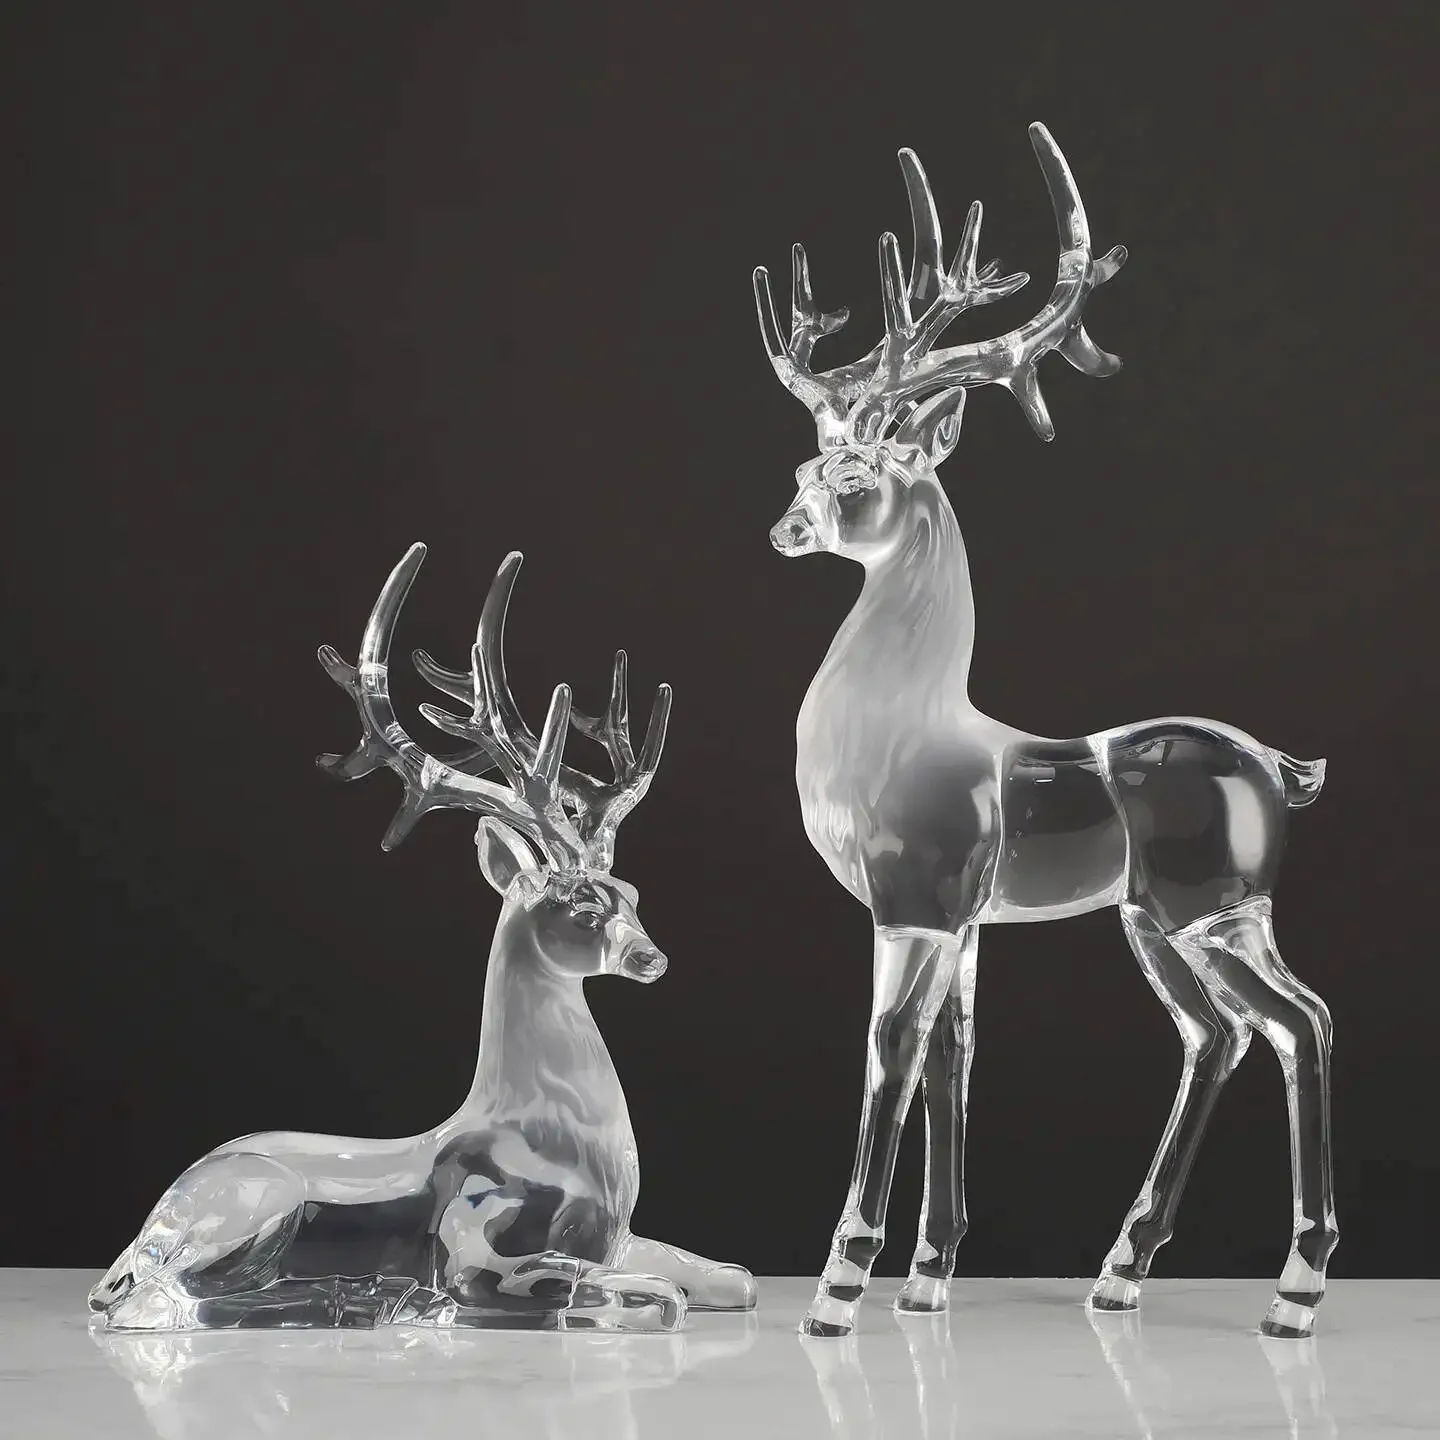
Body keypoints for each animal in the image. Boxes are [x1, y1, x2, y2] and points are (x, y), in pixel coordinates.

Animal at [89, 543, 755, 1333]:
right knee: (172, 1299)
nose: (652, 957)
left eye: (631, 892)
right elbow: (625, 1292)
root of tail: (152, 1221)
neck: (559, 1146)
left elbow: (732, 1276)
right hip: (251, 1204)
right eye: (578, 903)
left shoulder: (620, 1236)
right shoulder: (473, 1247)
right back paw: (366, 1296)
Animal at [752, 123, 1335, 1340]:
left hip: (1215, 910)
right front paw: (928, 1276)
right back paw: (1120, 1272)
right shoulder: (968, 924)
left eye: (857, 471)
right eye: (804, 463)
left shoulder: (913, 904)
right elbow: (955, 1059)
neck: (897, 728)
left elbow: (889, 1050)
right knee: (1219, 1036)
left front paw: (841, 1284)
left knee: (1299, 1022)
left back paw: (1295, 1293)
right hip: (1158, 922)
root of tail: (1282, 769)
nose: (783, 526)